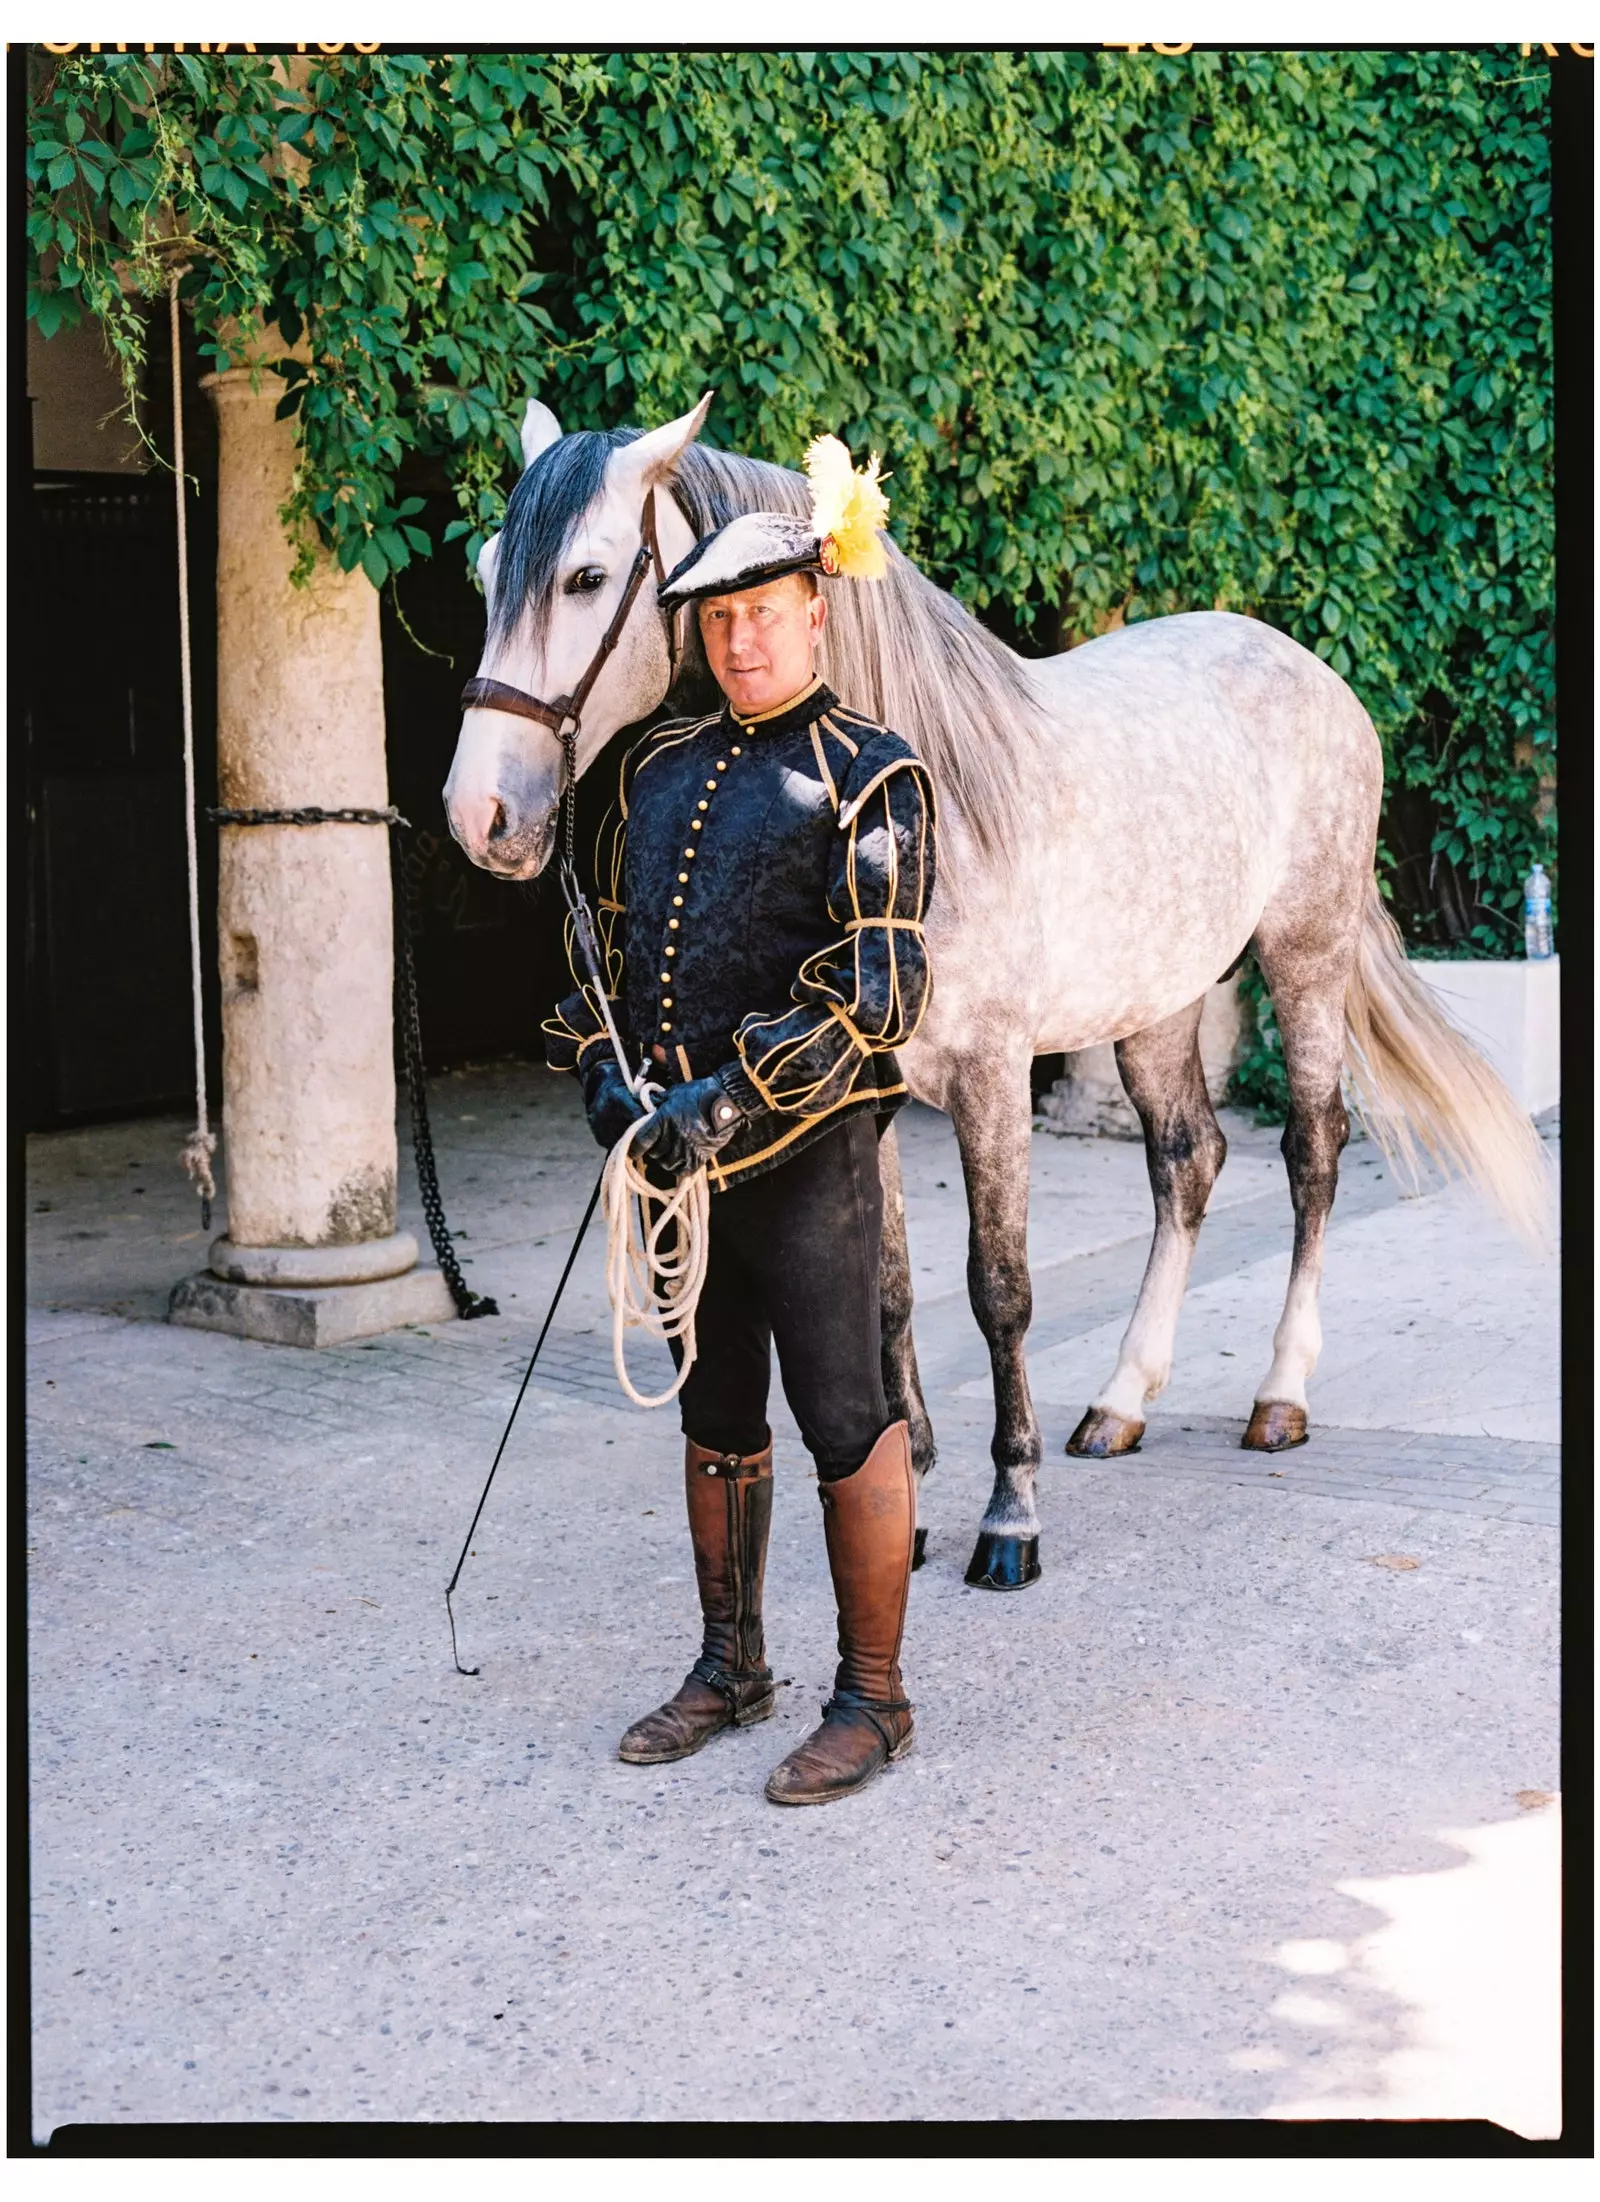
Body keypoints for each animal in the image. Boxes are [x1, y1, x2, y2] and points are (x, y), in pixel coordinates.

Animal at [444, 405, 1549, 1594]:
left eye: (587, 576)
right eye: (488, 570)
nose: (479, 816)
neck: (928, 804)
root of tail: (1309, 670)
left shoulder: (990, 1080)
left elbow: (999, 1289)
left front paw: (1009, 1516)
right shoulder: (861, 1088)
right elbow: (886, 1294)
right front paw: (908, 1499)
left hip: (1306, 957)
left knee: (1311, 1151)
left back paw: (1279, 1394)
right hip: (1154, 1002)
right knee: (1188, 1159)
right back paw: (1120, 1401)